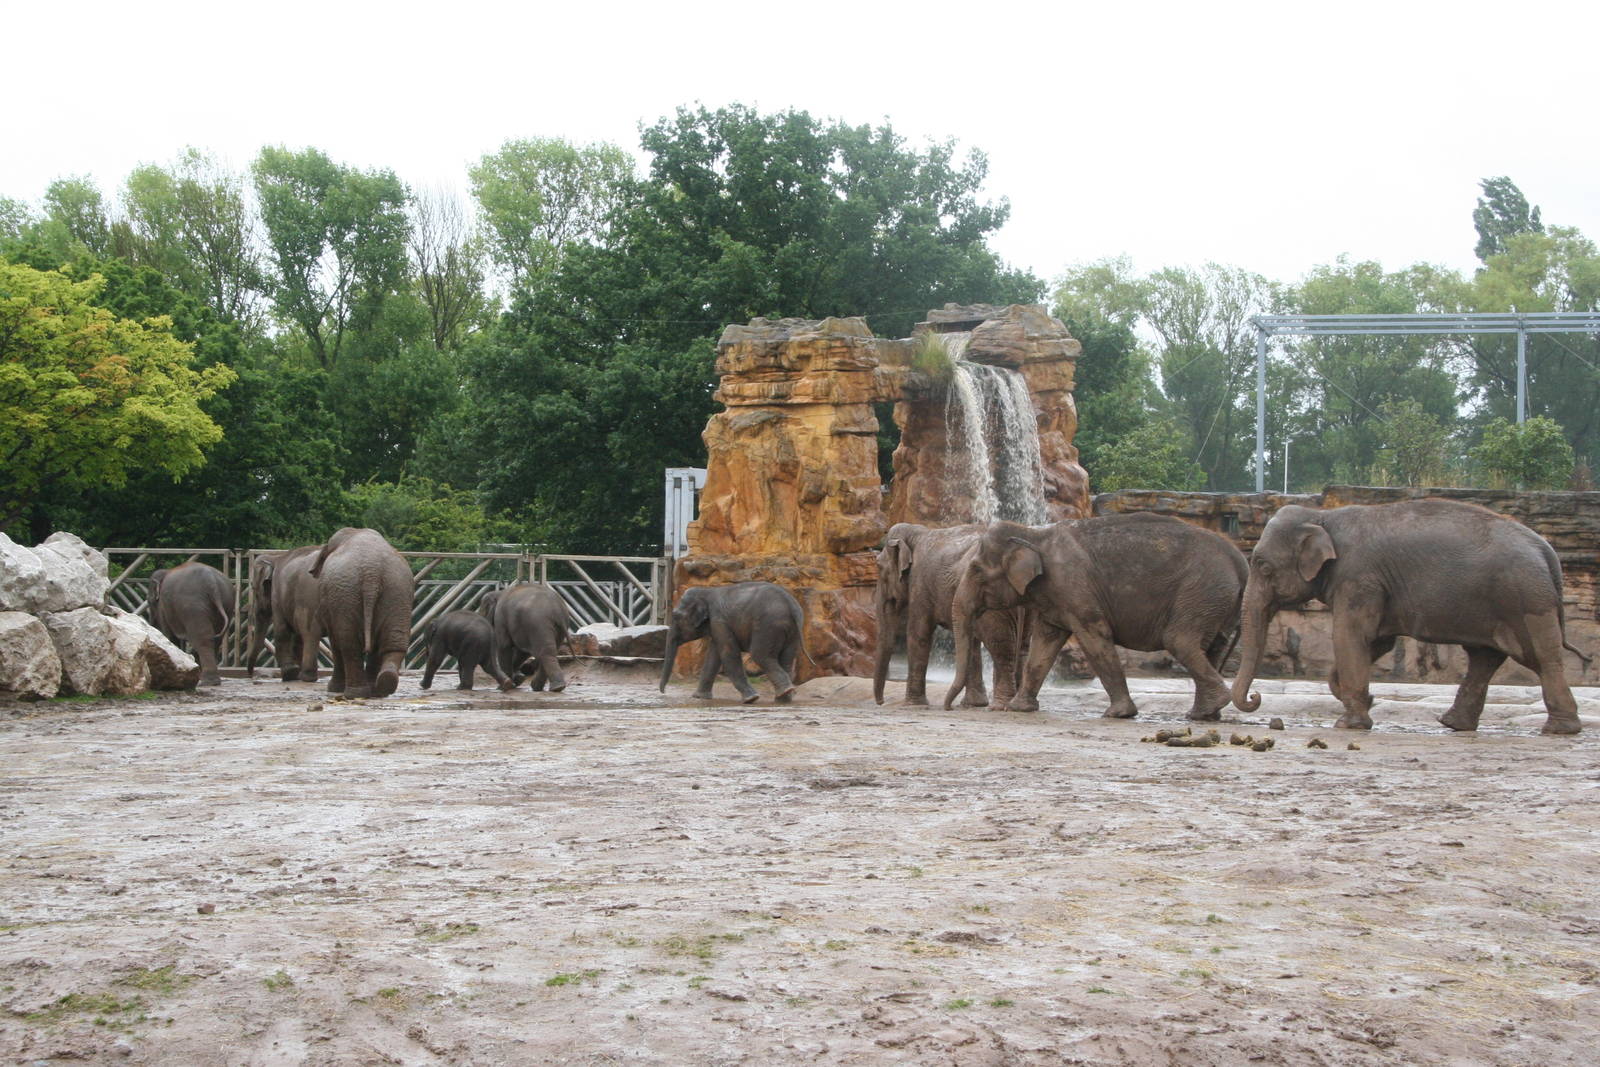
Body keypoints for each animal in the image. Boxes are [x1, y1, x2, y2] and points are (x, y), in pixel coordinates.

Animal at [309, 528, 414, 698]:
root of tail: (372, 573)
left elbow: (335, 640)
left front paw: (333, 689)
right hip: (396, 590)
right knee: (393, 642)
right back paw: (382, 687)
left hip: (346, 592)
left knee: (348, 644)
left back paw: (355, 694)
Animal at [660, 581, 804, 704]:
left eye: (675, 616)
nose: (663, 692)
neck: (706, 591)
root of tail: (791, 604)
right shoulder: (717, 626)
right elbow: (713, 657)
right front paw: (699, 697)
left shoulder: (719, 621)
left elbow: (729, 654)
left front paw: (751, 699)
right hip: (791, 631)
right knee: (786, 658)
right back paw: (783, 698)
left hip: (768, 625)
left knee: (760, 655)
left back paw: (783, 693)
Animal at [873, 522, 1029, 708]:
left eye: (879, 568)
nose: (881, 702)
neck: (916, 533)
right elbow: (971, 641)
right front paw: (973, 704)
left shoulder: (920, 582)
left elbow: (918, 634)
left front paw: (912, 704)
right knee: (1022, 647)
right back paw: (1016, 705)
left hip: (994, 603)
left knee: (1001, 647)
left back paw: (1000, 706)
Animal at [947, 514, 1248, 720]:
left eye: (976, 570)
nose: (948, 707)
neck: (1034, 534)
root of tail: (1240, 561)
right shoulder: (1054, 597)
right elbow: (1044, 642)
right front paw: (1019, 708)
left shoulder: (1075, 588)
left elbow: (1094, 637)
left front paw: (1119, 714)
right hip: (1215, 602)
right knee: (1211, 648)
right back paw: (1204, 714)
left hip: (1201, 592)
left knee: (1179, 641)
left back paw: (1212, 705)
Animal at [1231, 499, 1586, 735]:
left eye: (1263, 567)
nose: (1255, 696)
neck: (1322, 516)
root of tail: (1546, 550)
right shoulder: (1372, 586)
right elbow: (1377, 642)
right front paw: (1358, 697)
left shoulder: (1359, 578)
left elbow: (1350, 635)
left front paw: (1349, 723)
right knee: (1484, 658)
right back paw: (1453, 724)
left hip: (1525, 598)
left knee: (1540, 656)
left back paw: (1559, 729)